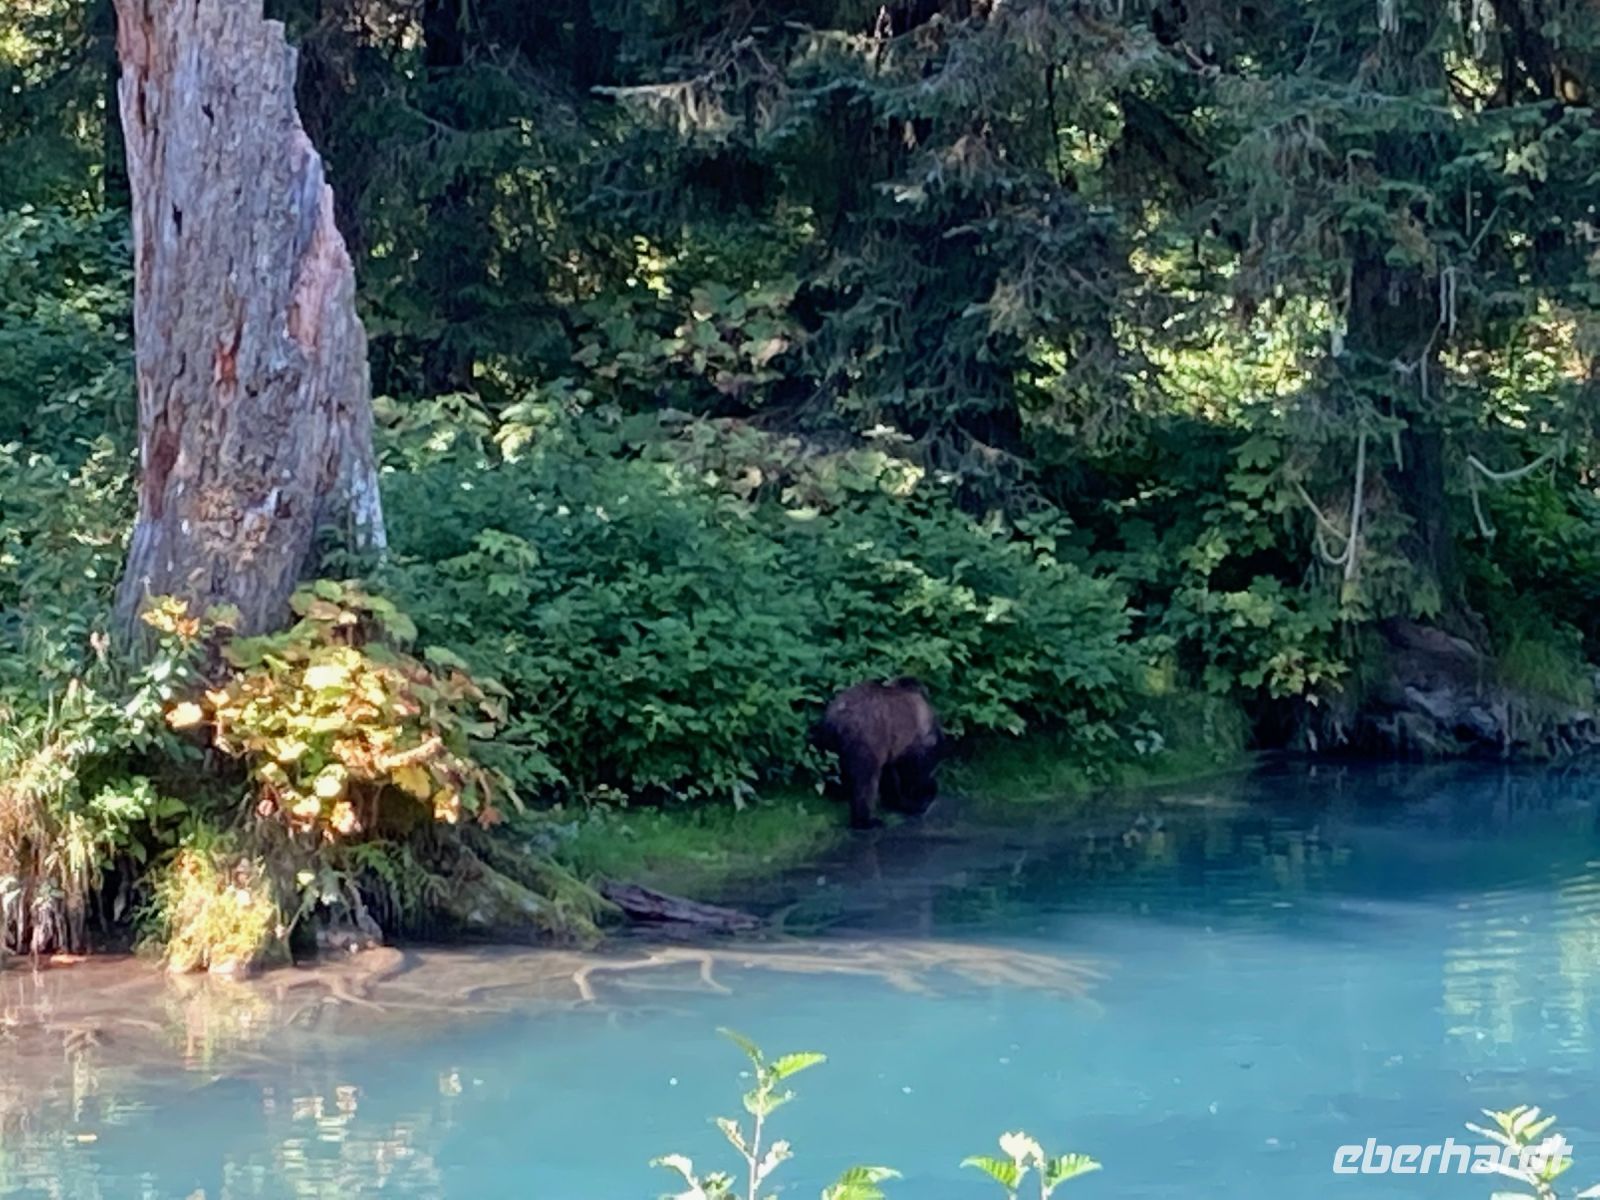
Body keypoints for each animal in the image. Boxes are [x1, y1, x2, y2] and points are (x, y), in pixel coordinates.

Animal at [808, 678, 944, 830]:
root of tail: (838, 716)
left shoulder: (890, 744)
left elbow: (890, 775)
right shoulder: (911, 741)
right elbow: (913, 770)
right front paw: (920, 797)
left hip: (828, 743)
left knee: (833, 769)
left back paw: (837, 793)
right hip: (866, 738)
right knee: (866, 780)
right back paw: (867, 820)